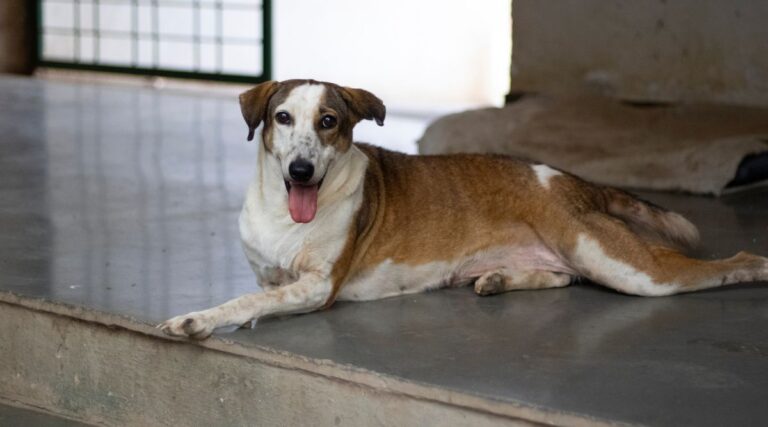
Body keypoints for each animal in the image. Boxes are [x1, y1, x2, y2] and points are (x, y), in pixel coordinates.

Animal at [159, 79, 768, 342]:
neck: (287, 215)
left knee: (727, 262)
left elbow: (247, 300)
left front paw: (197, 319)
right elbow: (260, 290)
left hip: (626, 267)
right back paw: (498, 279)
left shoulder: (318, 287)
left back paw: (753, 267)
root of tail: (575, 182)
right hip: (577, 256)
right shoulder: (272, 273)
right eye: (282, 118)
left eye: (329, 122)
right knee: (563, 278)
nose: (302, 170)